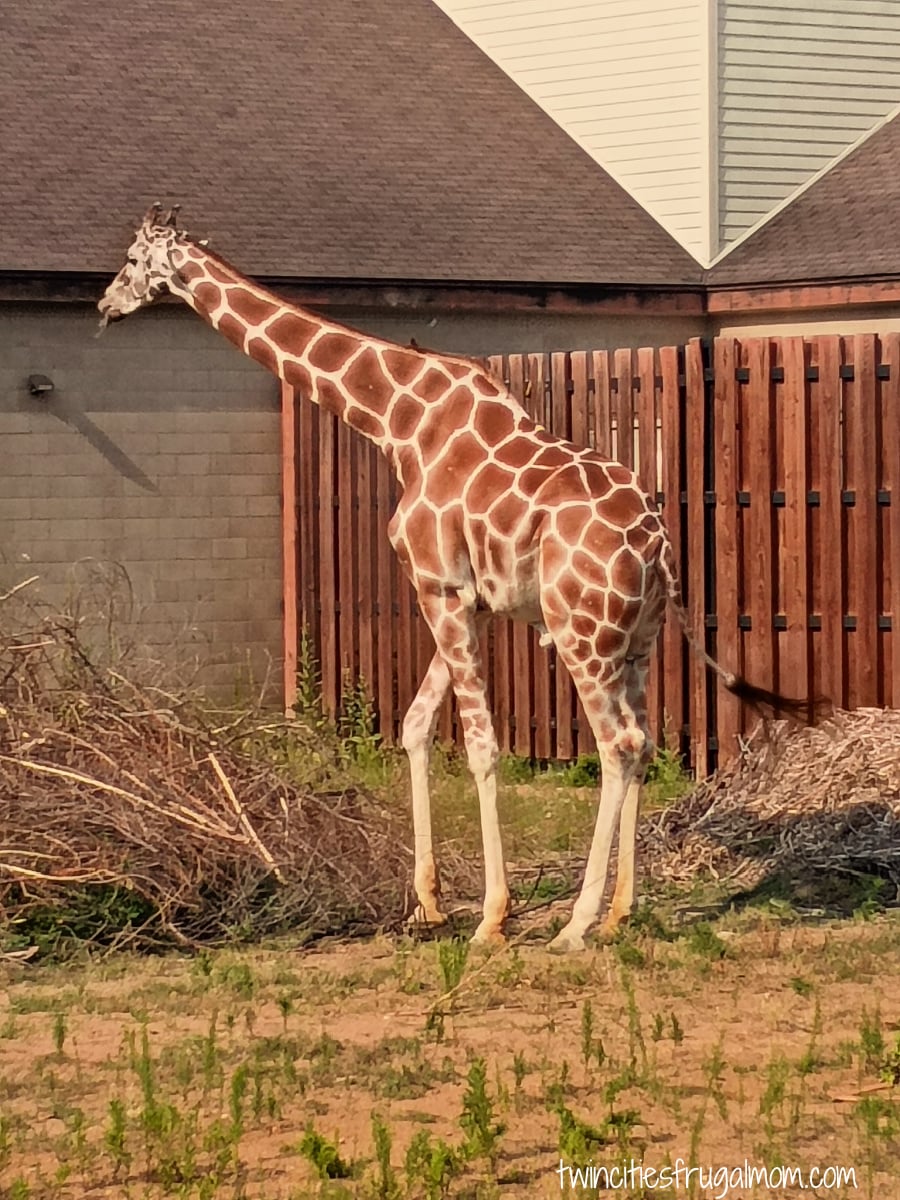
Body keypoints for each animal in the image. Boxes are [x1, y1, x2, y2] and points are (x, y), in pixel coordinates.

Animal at [98, 205, 807, 952]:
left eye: (131, 259)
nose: (105, 305)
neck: (397, 420)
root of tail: (659, 545)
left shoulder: (438, 586)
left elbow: (479, 744)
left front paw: (492, 917)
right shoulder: (473, 600)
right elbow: (415, 726)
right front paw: (428, 905)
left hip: (579, 633)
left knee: (618, 744)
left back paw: (575, 924)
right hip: (636, 641)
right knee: (642, 742)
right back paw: (619, 911)